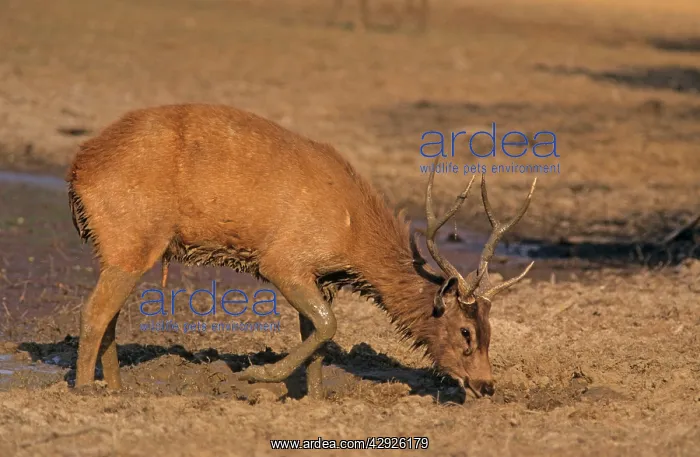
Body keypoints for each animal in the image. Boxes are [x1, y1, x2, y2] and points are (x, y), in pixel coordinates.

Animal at [66, 103, 536, 400]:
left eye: (491, 332)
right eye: (466, 332)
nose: (486, 385)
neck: (352, 238)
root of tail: (76, 170)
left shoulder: (321, 277)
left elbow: (317, 335)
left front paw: (316, 397)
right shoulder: (283, 260)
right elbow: (328, 326)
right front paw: (258, 374)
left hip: (119, 244)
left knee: (109, 315)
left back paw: (117, 387)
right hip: (133, 235)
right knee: (94, 312)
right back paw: (86, 389)